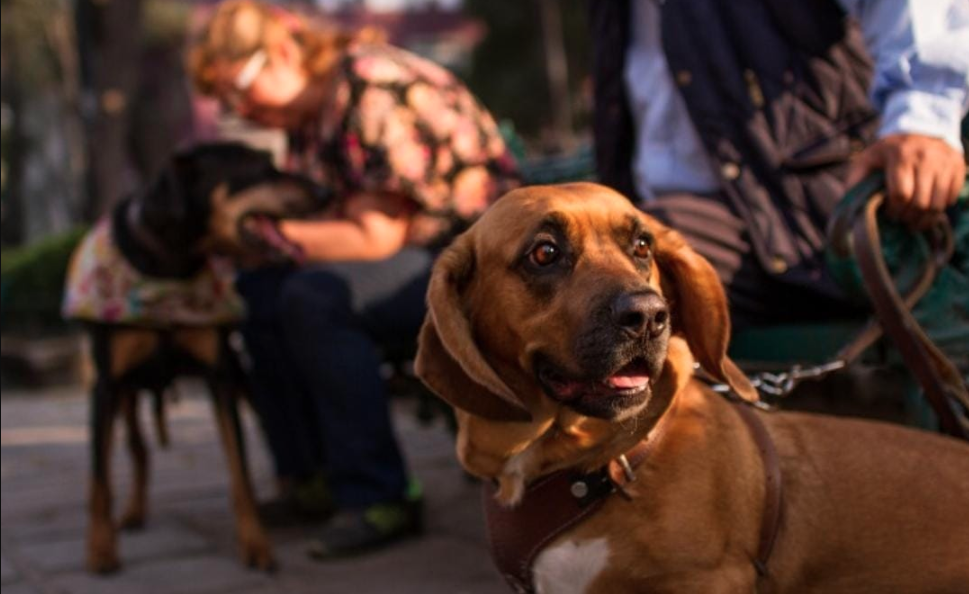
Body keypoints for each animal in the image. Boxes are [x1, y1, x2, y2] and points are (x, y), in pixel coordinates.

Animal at [65, 141, 328, 572]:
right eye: (259, 167)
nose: (326, 191)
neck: (171, 264)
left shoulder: (220, 376)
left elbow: (240, 471)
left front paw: (256, 544)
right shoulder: (104, 386)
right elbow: (98, 480)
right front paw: (100, 550)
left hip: (241, 376)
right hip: (125, 394)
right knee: (138, 449)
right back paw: (133, 513)